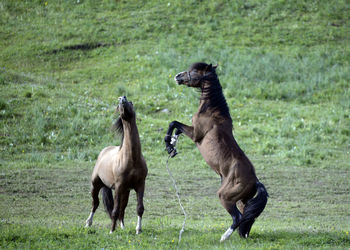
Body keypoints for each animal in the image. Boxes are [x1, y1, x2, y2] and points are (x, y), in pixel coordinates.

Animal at [164, 62, 268, 242]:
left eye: (194, 71)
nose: (177, 76)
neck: (212, 111)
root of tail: (255, 181)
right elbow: (177, 129)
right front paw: (172, 146)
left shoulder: (195, 134)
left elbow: (174, 123)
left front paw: (168, 143)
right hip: (242, 201)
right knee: (247, 217)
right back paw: (243, 235)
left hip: (225, 196)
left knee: (238, 217)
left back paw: (224, 237)